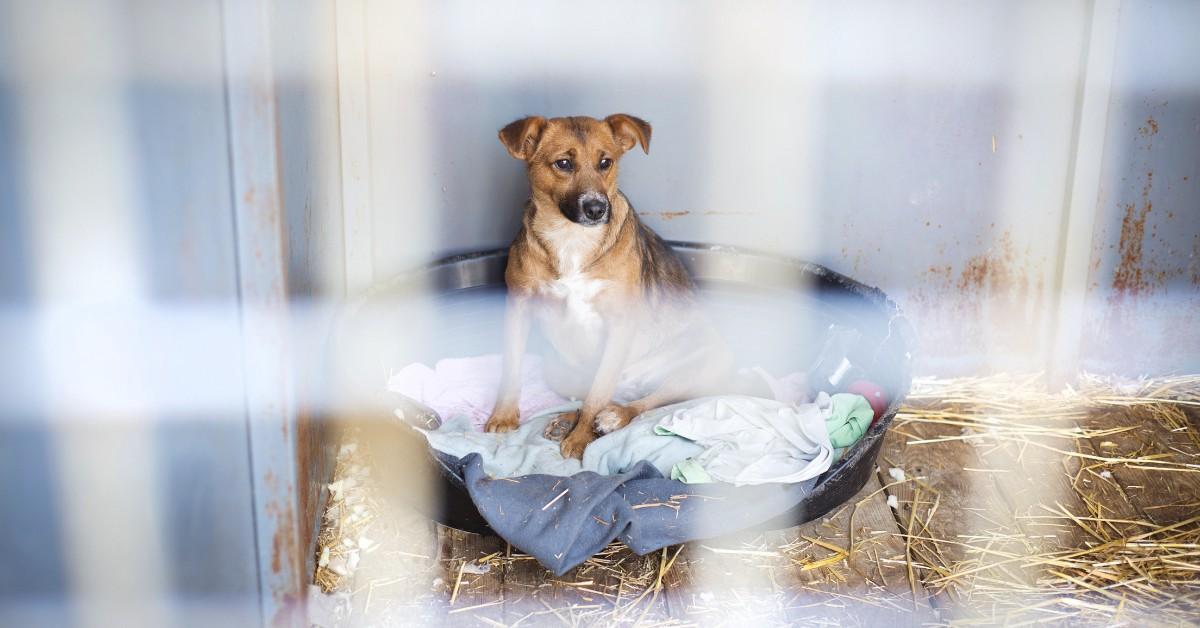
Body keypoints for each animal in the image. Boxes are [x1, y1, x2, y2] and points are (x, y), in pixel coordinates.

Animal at [482, 114, 734, 456]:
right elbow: (511, 367)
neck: (572, 239)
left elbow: (598, 393)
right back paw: (567, 419)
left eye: (606, 162)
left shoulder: (620, 322)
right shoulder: (518, 306)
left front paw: (580, 440)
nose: (597, 209)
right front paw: (504, 417)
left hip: (704, 365)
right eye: (563, 163)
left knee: (646, 402)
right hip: (559, 371)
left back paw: (613, 417)